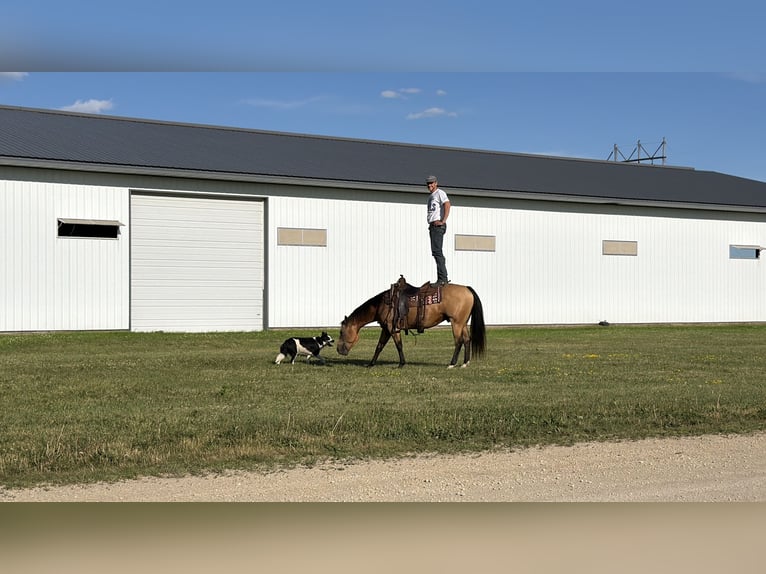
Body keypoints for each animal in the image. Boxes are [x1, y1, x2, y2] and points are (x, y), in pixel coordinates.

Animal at [336, 280, 486, 368]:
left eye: (341, 332)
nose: (339, 350)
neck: (382, 304)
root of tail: (467, 289)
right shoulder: (385, 328)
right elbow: (379, 346)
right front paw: (371, 364)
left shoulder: (392, 328)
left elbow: (398, 345)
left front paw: (401, 364)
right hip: (463, 323)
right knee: (466, 340)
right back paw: (465, 363)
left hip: (456, 323)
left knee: (458, 341)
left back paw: (452, 364)